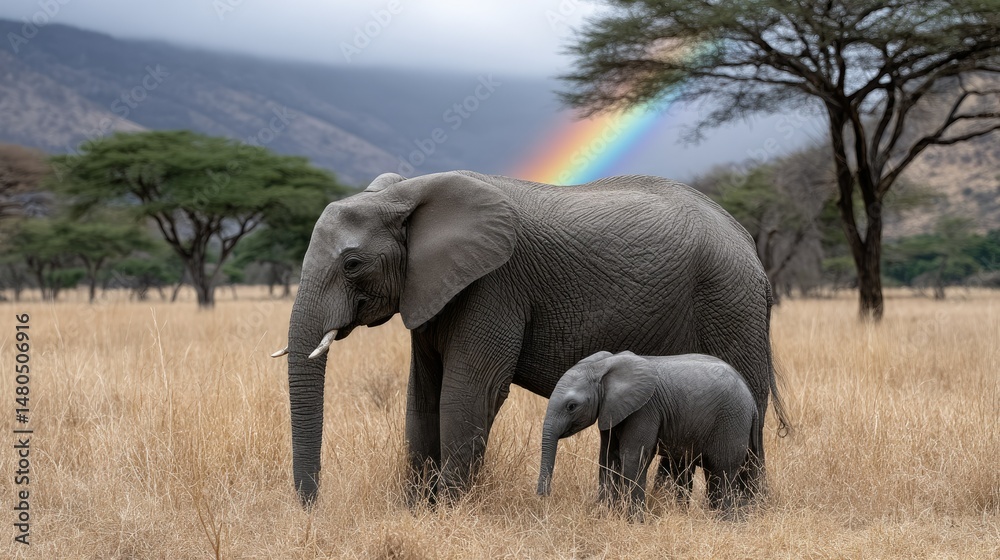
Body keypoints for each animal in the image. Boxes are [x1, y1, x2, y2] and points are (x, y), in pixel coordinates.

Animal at [536, 351, 759, 520]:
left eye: (571, 406)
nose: (543, 495)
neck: (603, 366)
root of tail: (752, 400)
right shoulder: (612, 410)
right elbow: (608, 457)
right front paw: (603, 515)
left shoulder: (645, 410)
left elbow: (633, 457)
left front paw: (634, 521)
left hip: (731, 421)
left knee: (721, 471)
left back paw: (724, 521)